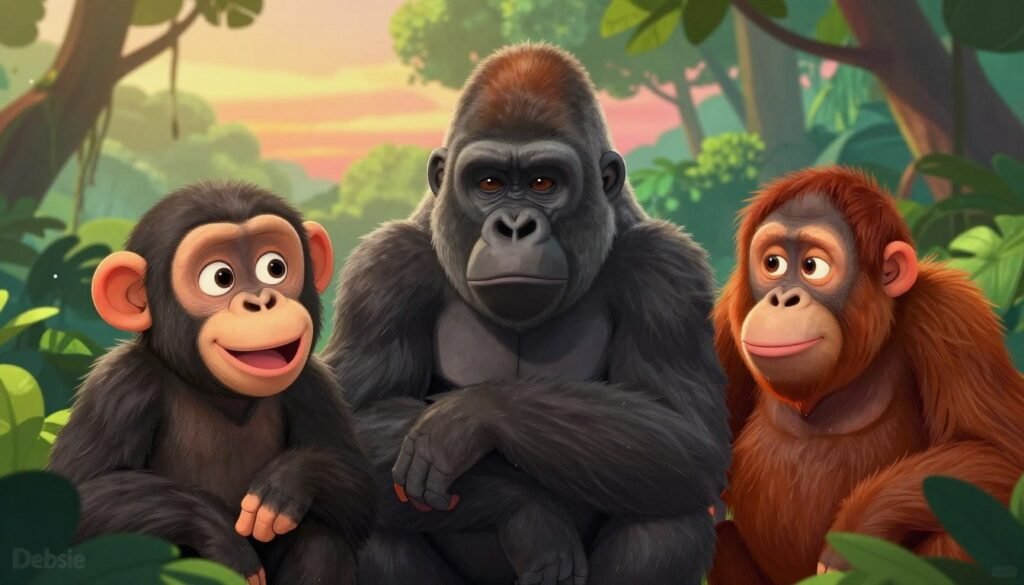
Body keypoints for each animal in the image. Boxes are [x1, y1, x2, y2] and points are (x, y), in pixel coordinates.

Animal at [48, 182, 377, 585]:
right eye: (221, 277)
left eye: (274, 267)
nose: (262, 301)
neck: (221, 394)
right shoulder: (121, 389)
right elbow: (75, 500)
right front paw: (220, 536)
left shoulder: (314, 388)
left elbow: (360, 492)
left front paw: (287, 483)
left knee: (322, 541)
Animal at [323, 43, 731, 585]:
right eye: (488, 183)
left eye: (543, 183)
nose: (514, 226)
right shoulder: (383, 273)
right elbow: (338, 432)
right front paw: (527, 514)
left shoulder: (667, 271)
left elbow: (691, 438)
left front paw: (473, 417)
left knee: (668, 514)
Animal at [709, 167, 1024, 585]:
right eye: (773, 263)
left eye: (812, 266)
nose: (781, 298)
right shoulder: (721, 328)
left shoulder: (951, 315)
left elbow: (1001, 452)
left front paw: (854, 534)